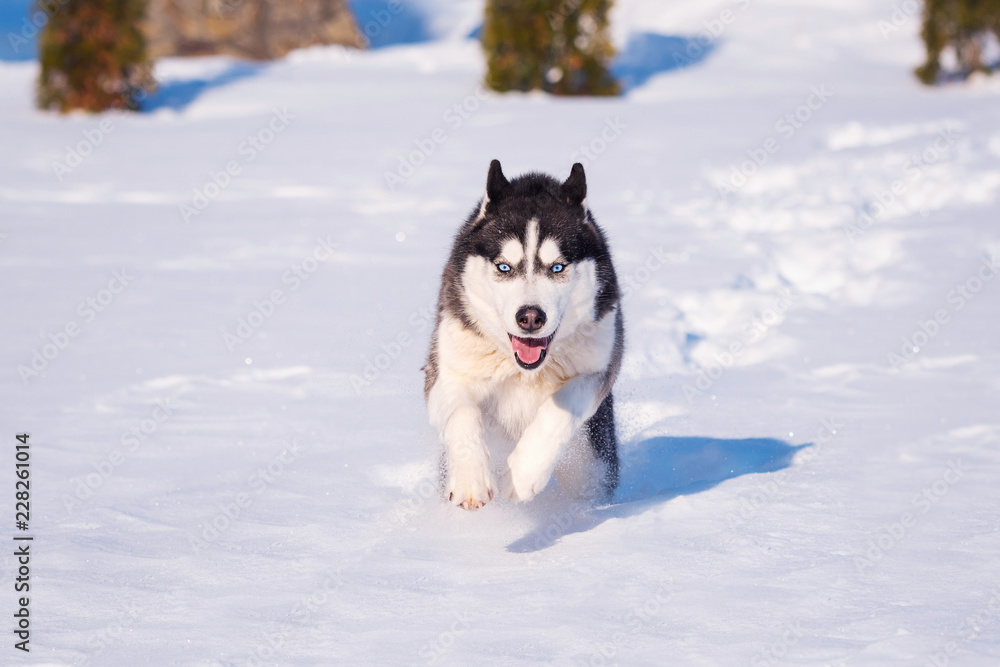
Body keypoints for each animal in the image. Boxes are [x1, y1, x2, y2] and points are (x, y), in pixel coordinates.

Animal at [424, 159, 624, 508]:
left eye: (557, 267)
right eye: (504, 267)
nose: (530, 317)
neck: (523, 370)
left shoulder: (599, 368)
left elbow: (562, 407)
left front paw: (524, 473)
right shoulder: (447, 372)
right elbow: (462, 412)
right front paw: (471, 480)